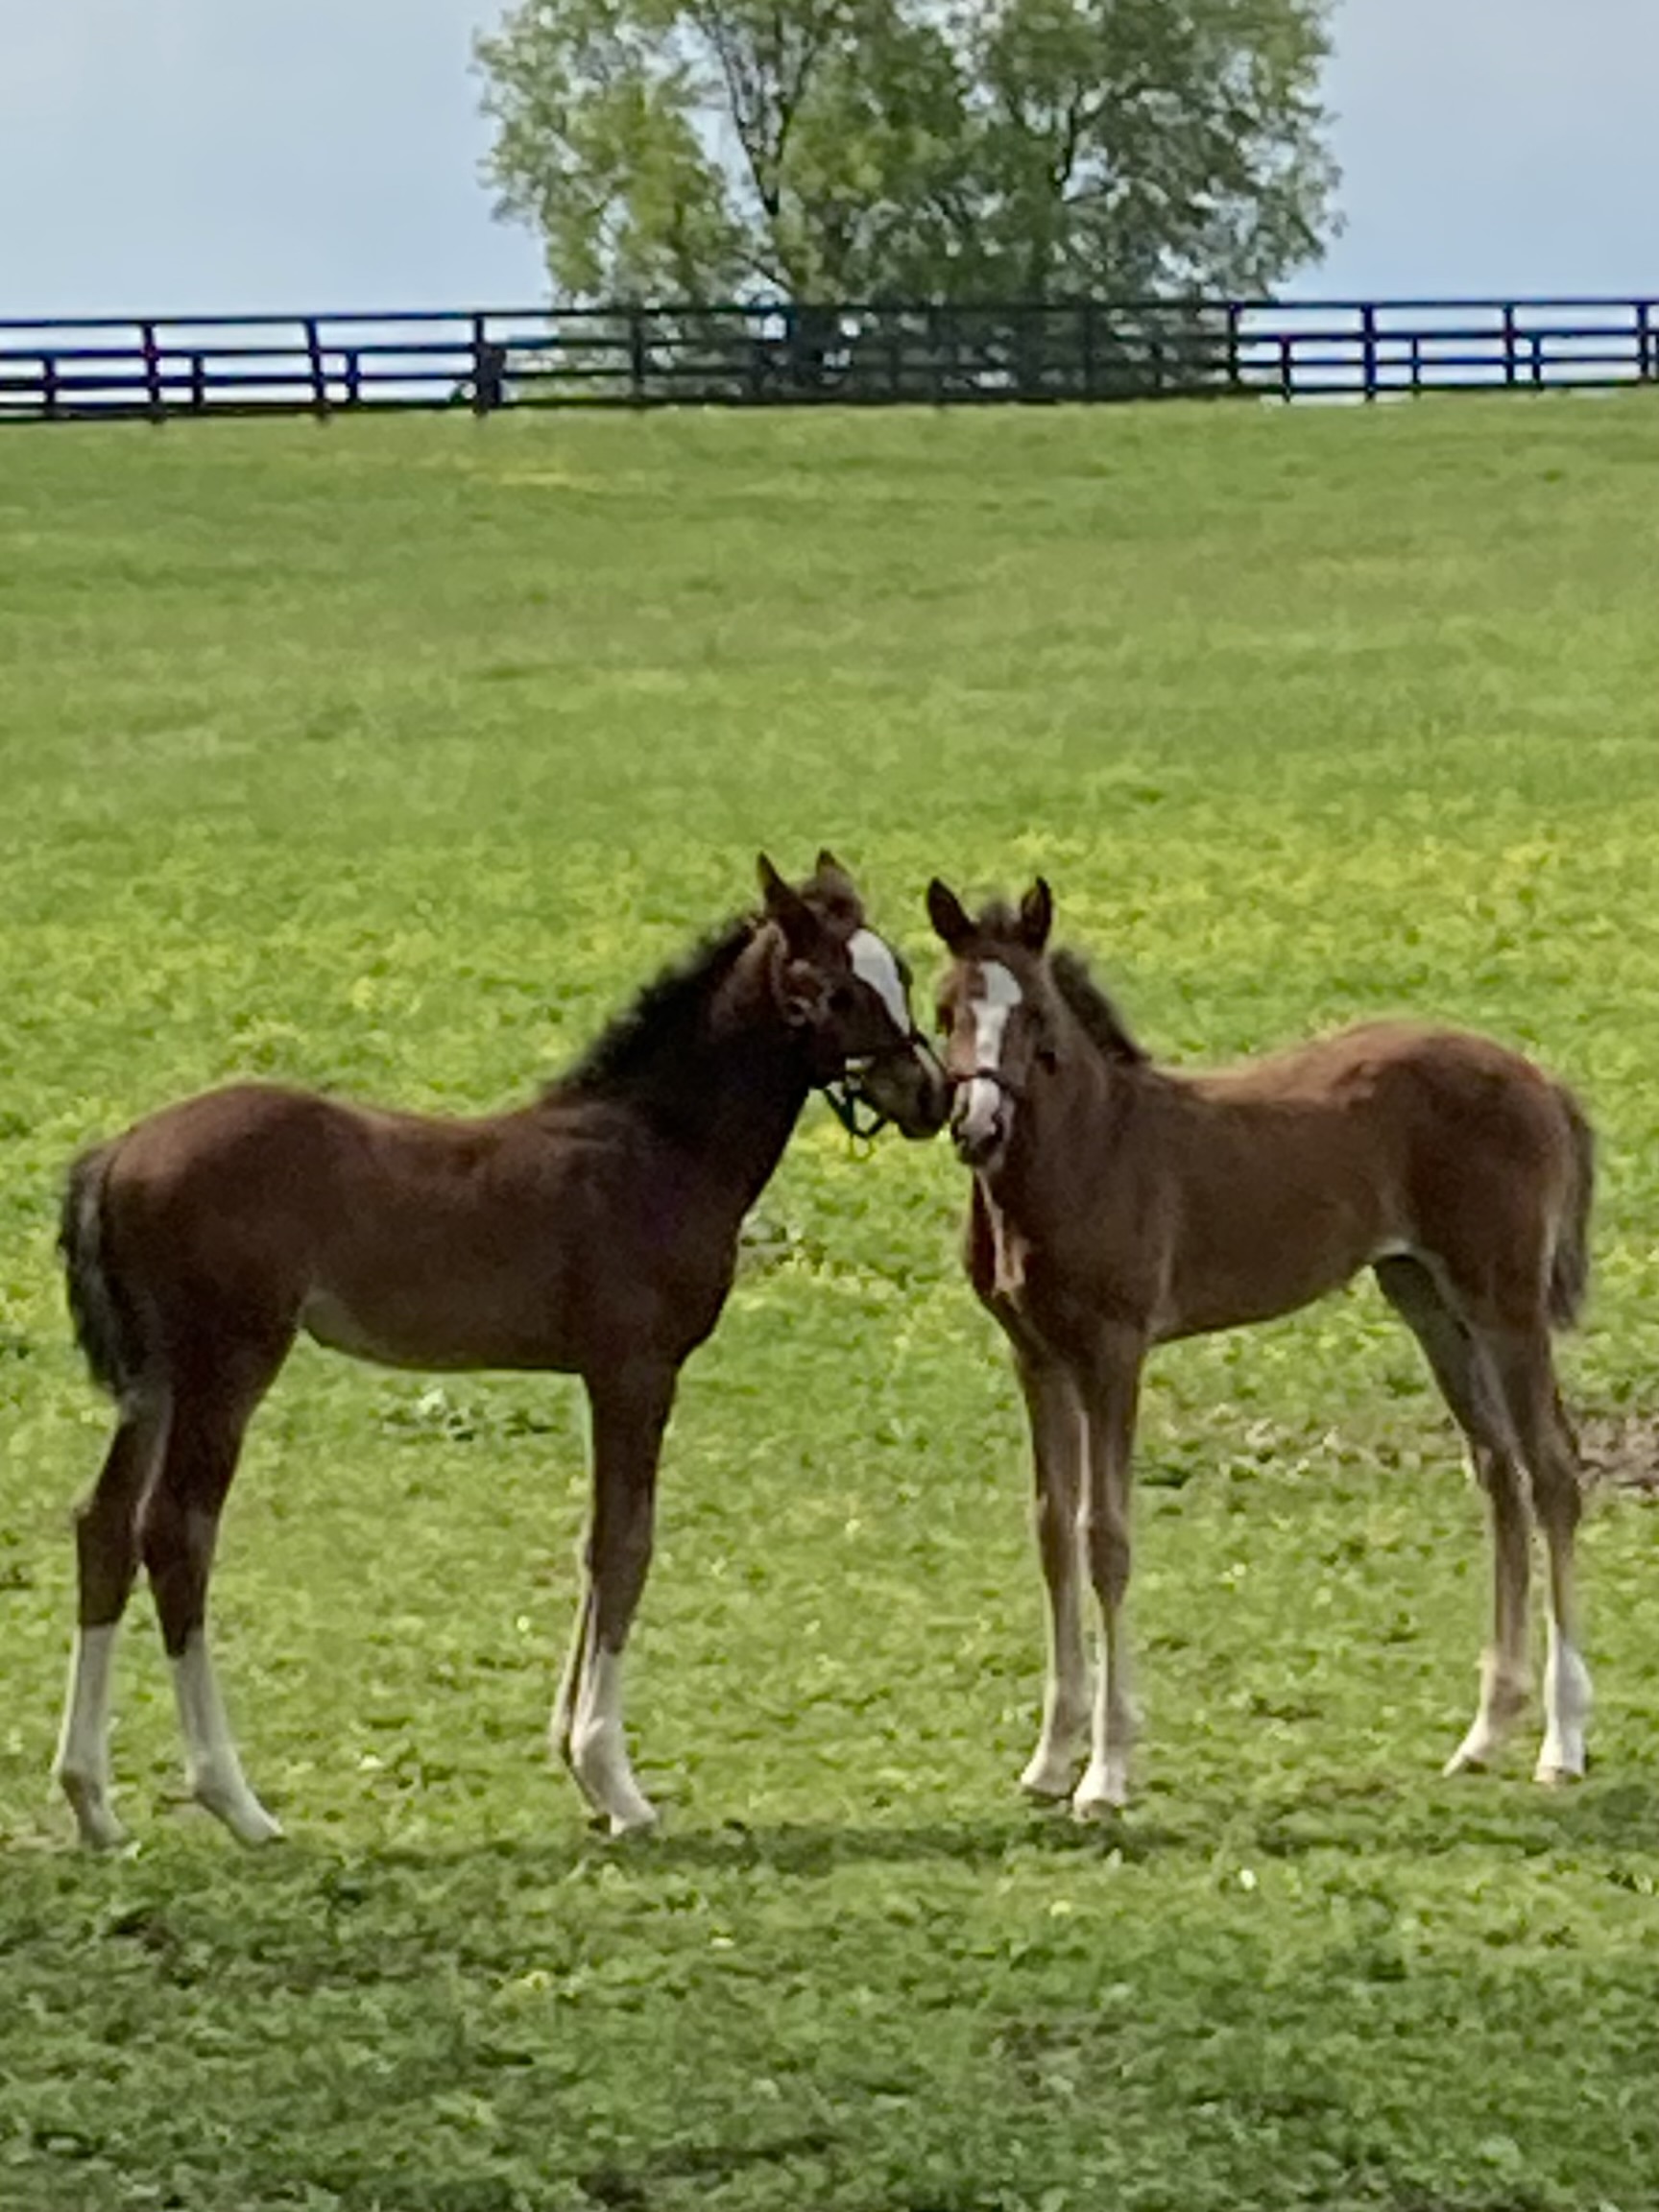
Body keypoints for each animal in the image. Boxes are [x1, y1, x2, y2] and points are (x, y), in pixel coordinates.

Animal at [52, 854, 947, 1839]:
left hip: (155, 1381)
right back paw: (236, 1802)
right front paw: (614, 1781)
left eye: (903, 972)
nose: (931, 1095)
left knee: (103, 1526)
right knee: (176, 1534)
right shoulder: (636, 1372)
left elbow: (596, 1544)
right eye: (834, 991)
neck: (658, 1150)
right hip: (228, 1367)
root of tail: (117, 1153)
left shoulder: (607, 1375)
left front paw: (578, 1763)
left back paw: (92, 1801)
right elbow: (625, 1546)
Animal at [937, 871, 1601, 1822]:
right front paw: (1048, 1759)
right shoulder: (1037, 1357)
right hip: (1426, 1298)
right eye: (948, 1006)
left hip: (1505, 1301)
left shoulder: (1113, 1352)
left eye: (1034, 1017)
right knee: (1498, 1471)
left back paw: (1562, 1743)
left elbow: (1105, 1537)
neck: (1089, 1154)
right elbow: (1051, 1531)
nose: (977, 1126)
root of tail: (1541, 1078)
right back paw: (1483, 1735)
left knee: (1551, 1474)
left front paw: (1105, 1774)